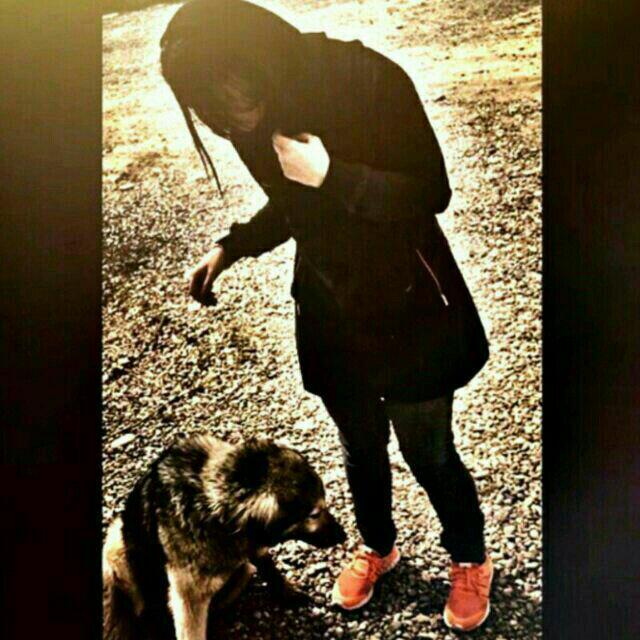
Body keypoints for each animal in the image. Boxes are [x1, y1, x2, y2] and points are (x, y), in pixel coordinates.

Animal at [103, 434, 346, 640]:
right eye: (314, 514)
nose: (343, 536)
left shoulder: (252, 544)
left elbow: (270, 568)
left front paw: (287, 592)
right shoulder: (188, 598)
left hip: (244, 571)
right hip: (115, 545)